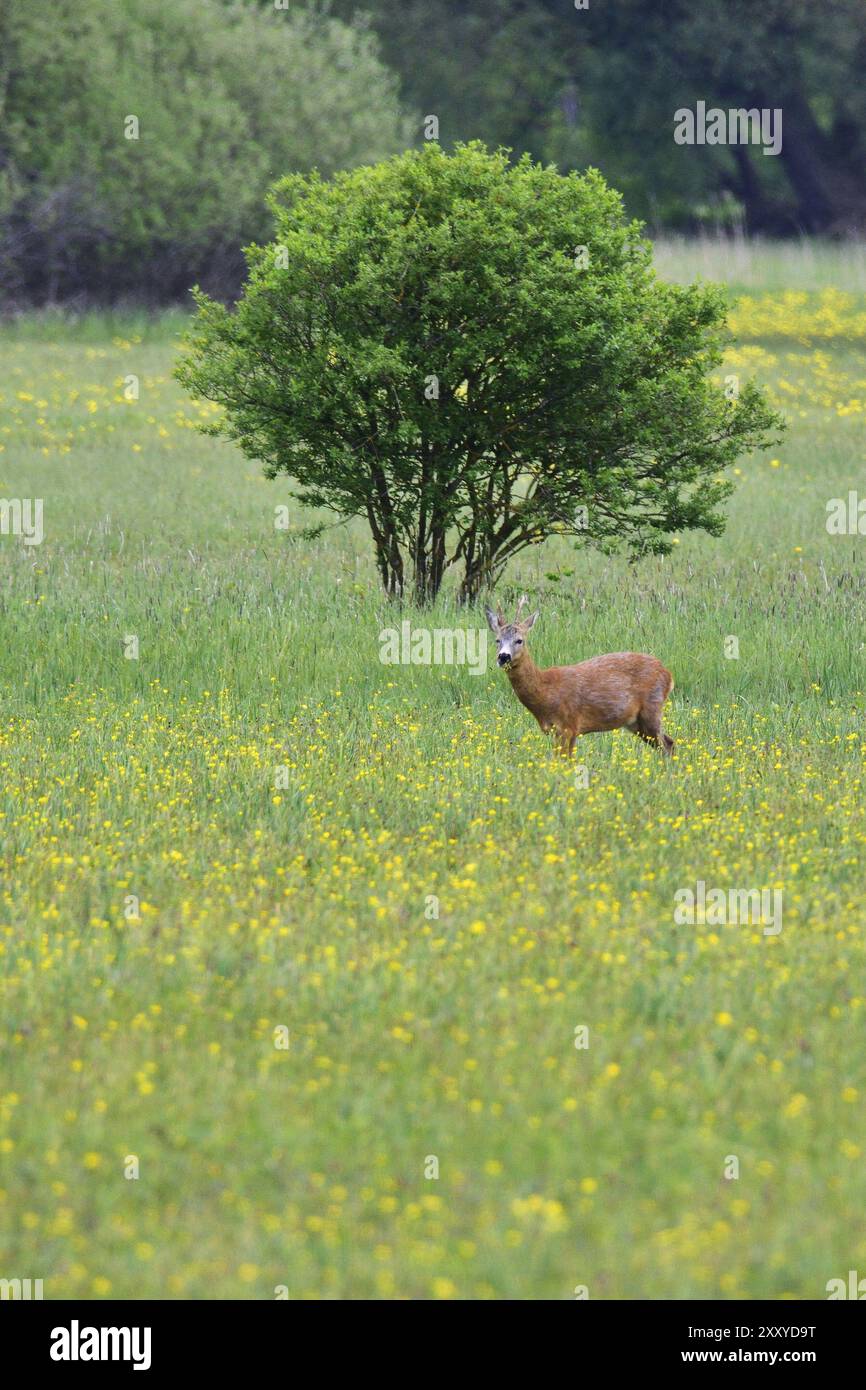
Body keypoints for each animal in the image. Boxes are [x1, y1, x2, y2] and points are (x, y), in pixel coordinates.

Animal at [485, 596, 675, 757]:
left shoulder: (567, 725)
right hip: (635, 722)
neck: (545, 691)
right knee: (667, 745)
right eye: (497, 640)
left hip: (652, 707)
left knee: (668, 745)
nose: (503, 657)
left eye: (519, 640)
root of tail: (668, 674)